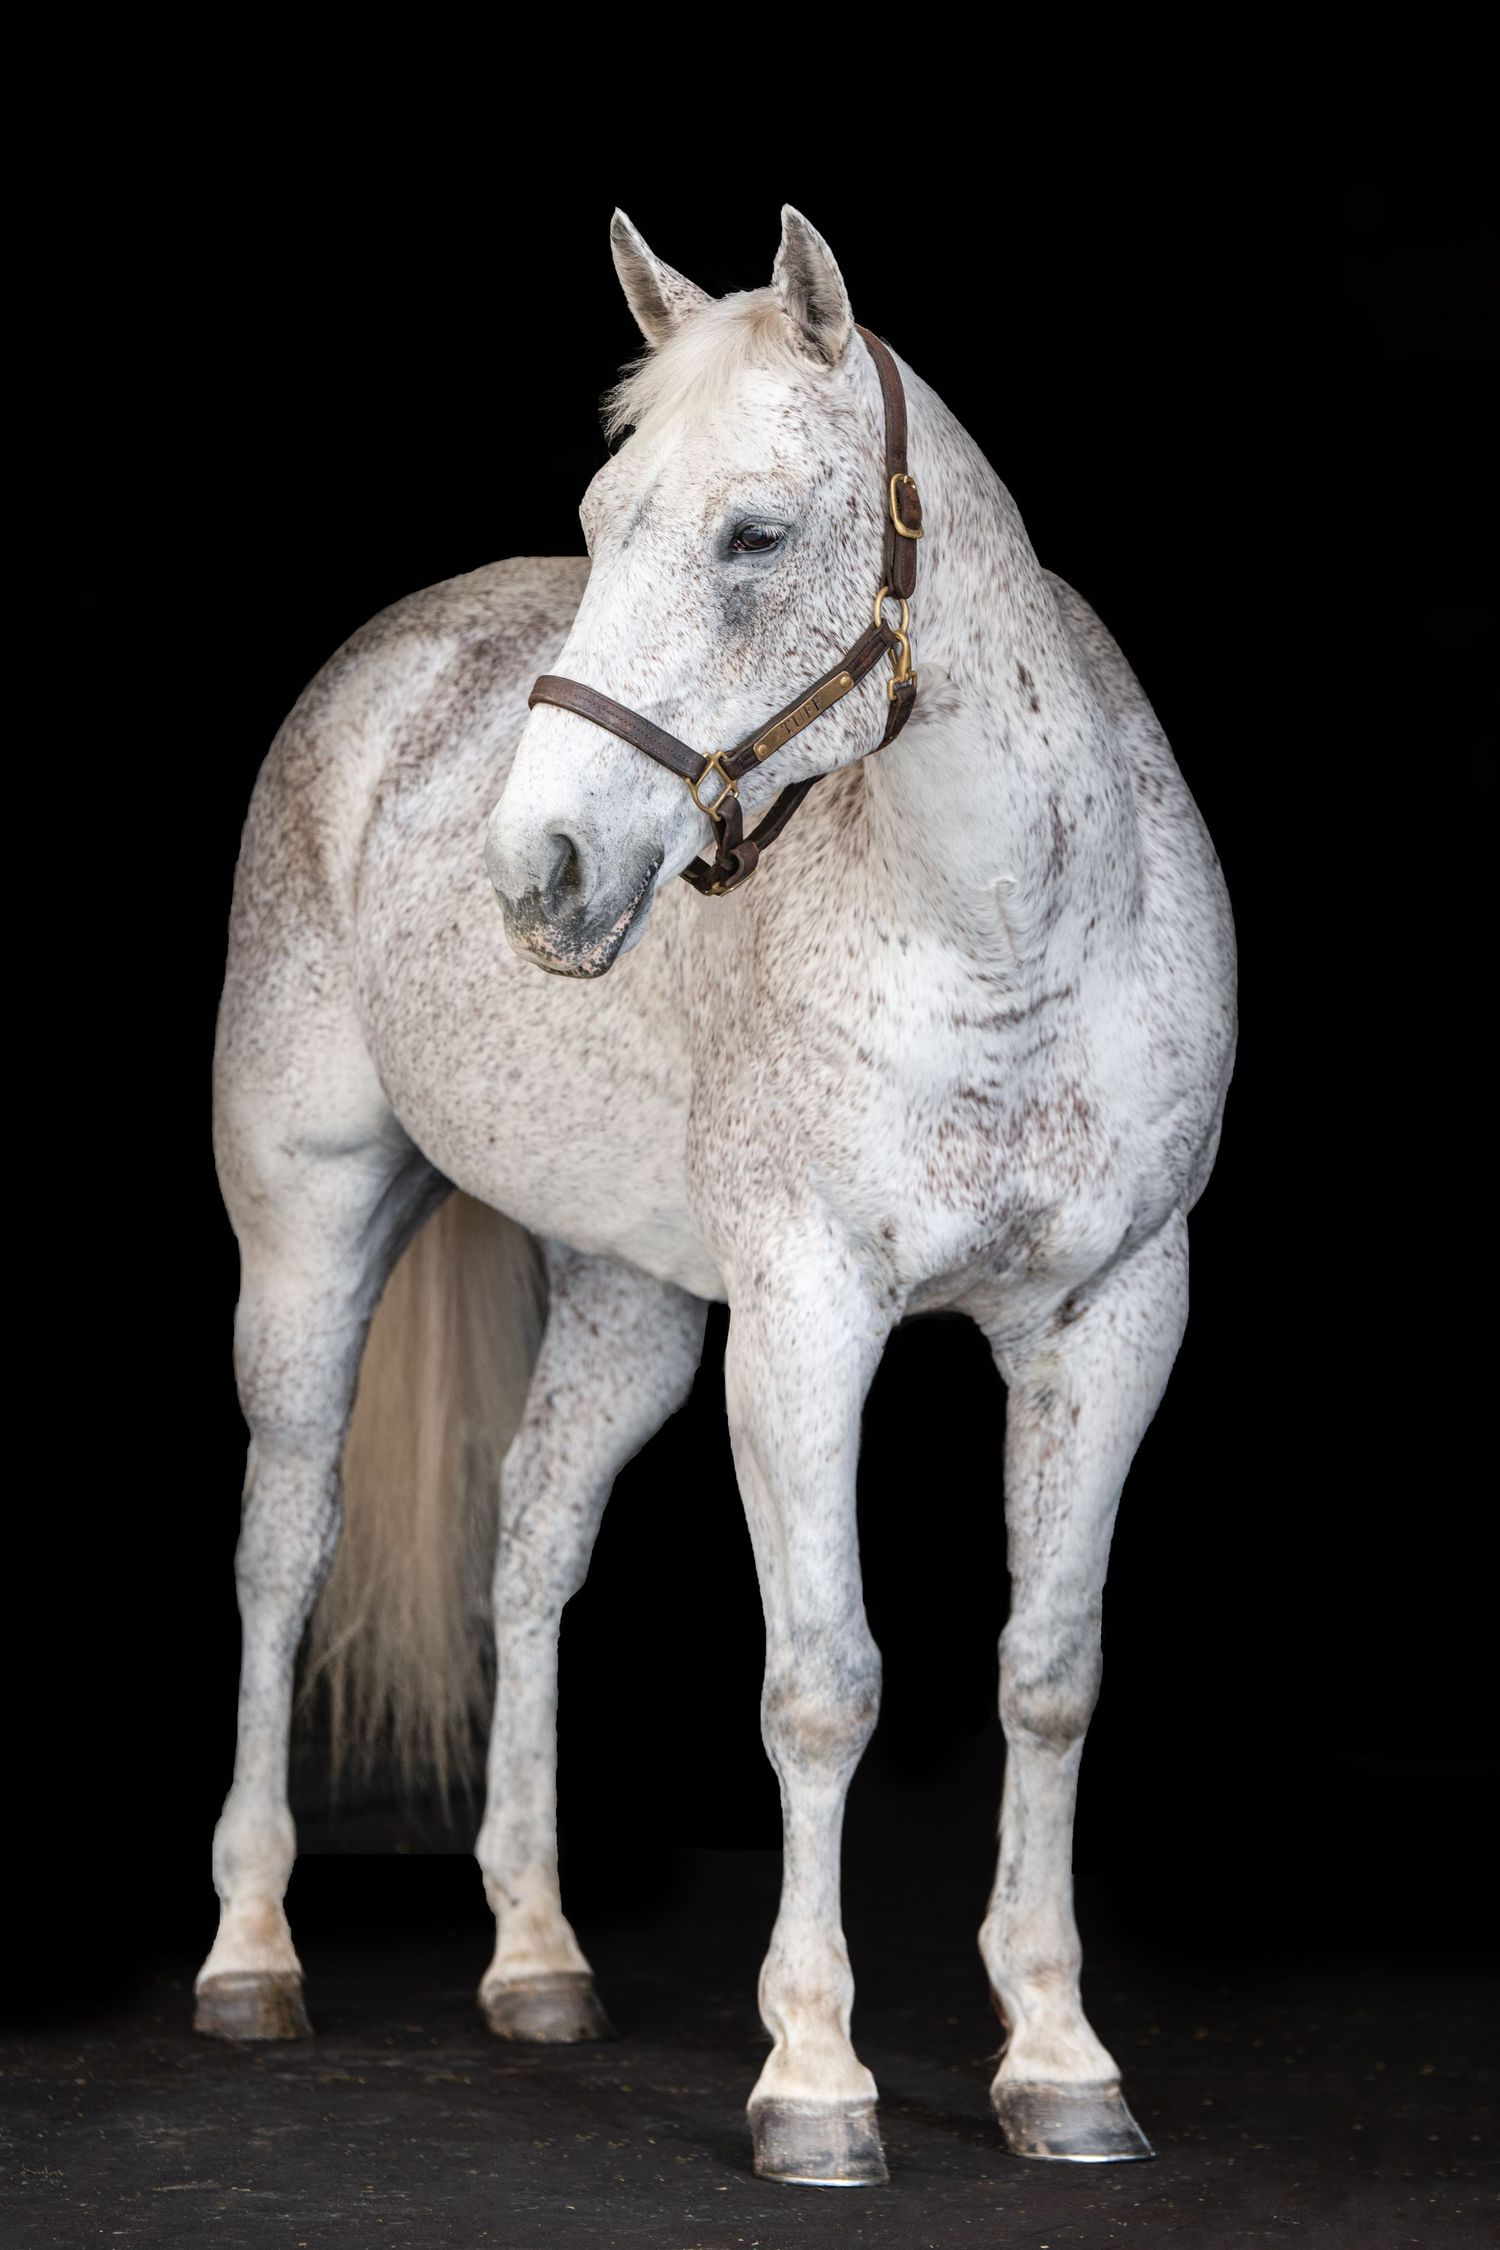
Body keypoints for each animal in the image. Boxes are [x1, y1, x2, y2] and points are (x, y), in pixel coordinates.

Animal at [195, 204, 1237, 2190]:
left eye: (753, 536)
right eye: (605, 518)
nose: (538, 870)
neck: (1003, 934)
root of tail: (383, 662)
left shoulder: (1113, 1317)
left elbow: (1049, 1670)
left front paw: (1060, 2057)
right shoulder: (810, 1322)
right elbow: (822, 1682)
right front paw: (815, 2080)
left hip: (631, 1305)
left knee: (529, 1541)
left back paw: (535, 1957)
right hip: (307, 1240)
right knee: (282, 1550)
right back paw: (251, 1953)